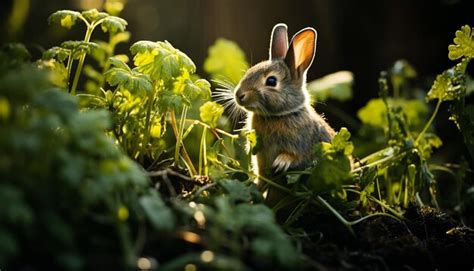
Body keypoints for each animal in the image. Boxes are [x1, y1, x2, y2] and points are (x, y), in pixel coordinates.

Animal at [235, 23, 336, 204]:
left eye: (271, 81)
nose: (239, 95)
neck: (279, 115)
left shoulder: (301, 145)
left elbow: (294, 156)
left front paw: (281, 163)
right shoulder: (260, 161)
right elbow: (261, 180)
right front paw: (254, 189)